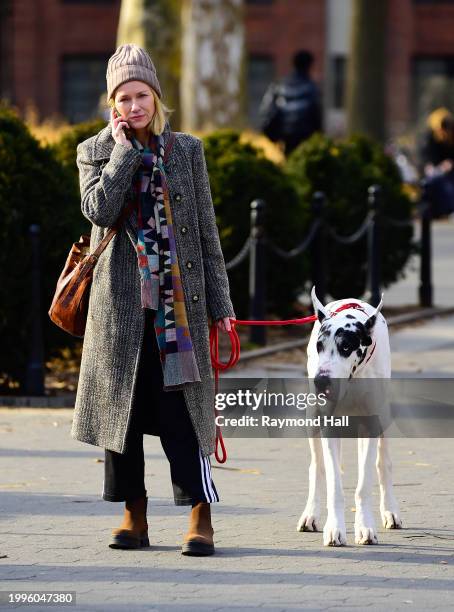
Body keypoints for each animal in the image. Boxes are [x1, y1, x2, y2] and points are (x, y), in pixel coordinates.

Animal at [298, 286, 400, 544]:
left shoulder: (372, 424)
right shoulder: (328, 426)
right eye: (319, 347)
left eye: (346, 347)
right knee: (317, 467)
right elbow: (334, 483)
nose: (321, 380)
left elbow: (364, 484)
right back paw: (310, 513)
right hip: (312, 419)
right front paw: (335, 527)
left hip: (383, 418)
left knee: (383, 463)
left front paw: (365, 527)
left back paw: (390, 510)